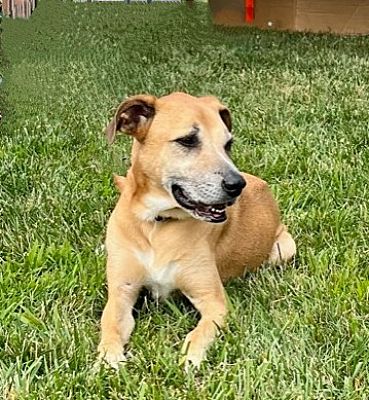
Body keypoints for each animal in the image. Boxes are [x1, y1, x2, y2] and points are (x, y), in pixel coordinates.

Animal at [98, 90, 296, 368]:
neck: (158, 223)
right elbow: (110, 326)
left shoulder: (213, 301)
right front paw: (108, 359)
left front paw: (189, 359)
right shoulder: (121, 294)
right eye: (188, 140)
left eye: (228, 144)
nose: (237, 185)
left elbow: (199, 333)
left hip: (284, 248)